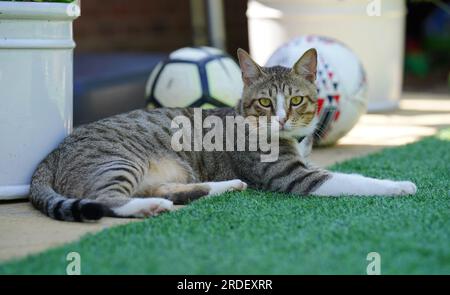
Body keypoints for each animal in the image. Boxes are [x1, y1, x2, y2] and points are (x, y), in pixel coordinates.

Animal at [29, 48, 416, 222]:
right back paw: (148, 207)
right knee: (108, 199)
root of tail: (51, 153)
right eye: (265, 102)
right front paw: (399, 185)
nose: (281, 120)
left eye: (295, 100)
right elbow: (353, 180)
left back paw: (224, 186)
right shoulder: (292, 176)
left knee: (164, 189)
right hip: (119, 162)